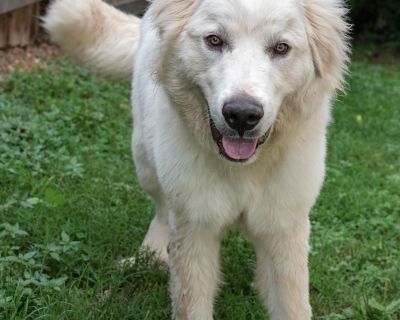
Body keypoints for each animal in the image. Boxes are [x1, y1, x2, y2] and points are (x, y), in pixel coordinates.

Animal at [44, 1, 350, 318]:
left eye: (280, 48)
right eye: (215, 40)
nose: (242, 114)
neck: (244, 169)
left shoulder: (284, 228)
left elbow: (292, 304)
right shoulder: (195, 227)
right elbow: (191, 303)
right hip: (147, 161)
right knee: (161, 210)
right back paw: (149, 255)